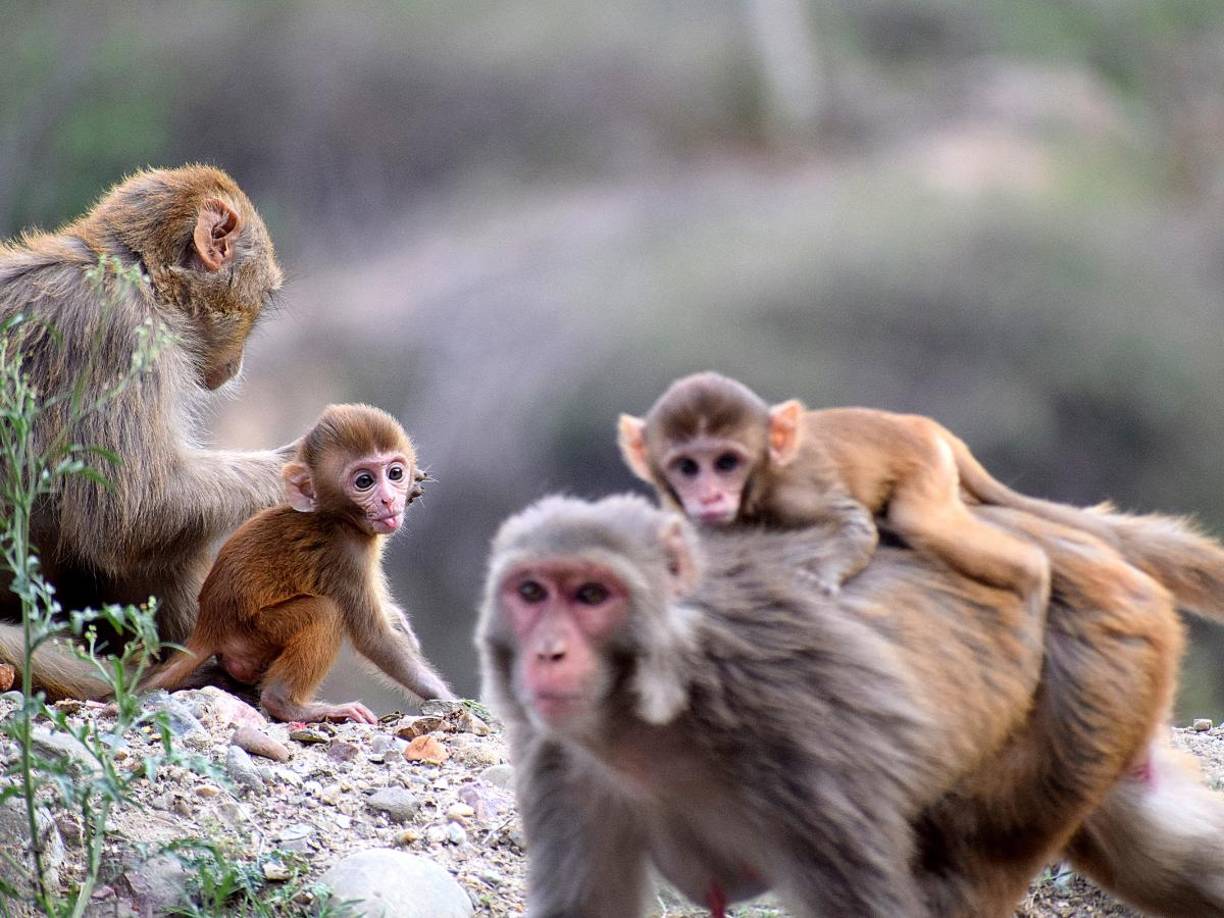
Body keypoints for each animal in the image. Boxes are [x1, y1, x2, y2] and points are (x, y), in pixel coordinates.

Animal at [0, 165, 291, 699]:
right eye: (261, 300)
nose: (237, 364)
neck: (136, 275)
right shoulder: (121, 335)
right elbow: (130, 513)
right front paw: (299, 469)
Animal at [141, 404, 453, 723]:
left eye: (395, 473)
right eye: (364, 481)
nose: (389, 500)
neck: (337, 518)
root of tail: (207, 627)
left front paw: (402, 626)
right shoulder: (344, 556)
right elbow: (374, 639)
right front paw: (448, 697)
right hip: (255, 632)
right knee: (324, 612)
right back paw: (287, 703)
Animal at [477, 494, 1224, 917]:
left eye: (591, 596)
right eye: (532, 592)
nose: (547, 653)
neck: (655, 712)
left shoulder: (802, 748)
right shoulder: (561, 763)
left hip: (1081, 691)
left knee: (968, 862)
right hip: (1112, 693)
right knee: (1161, 852)